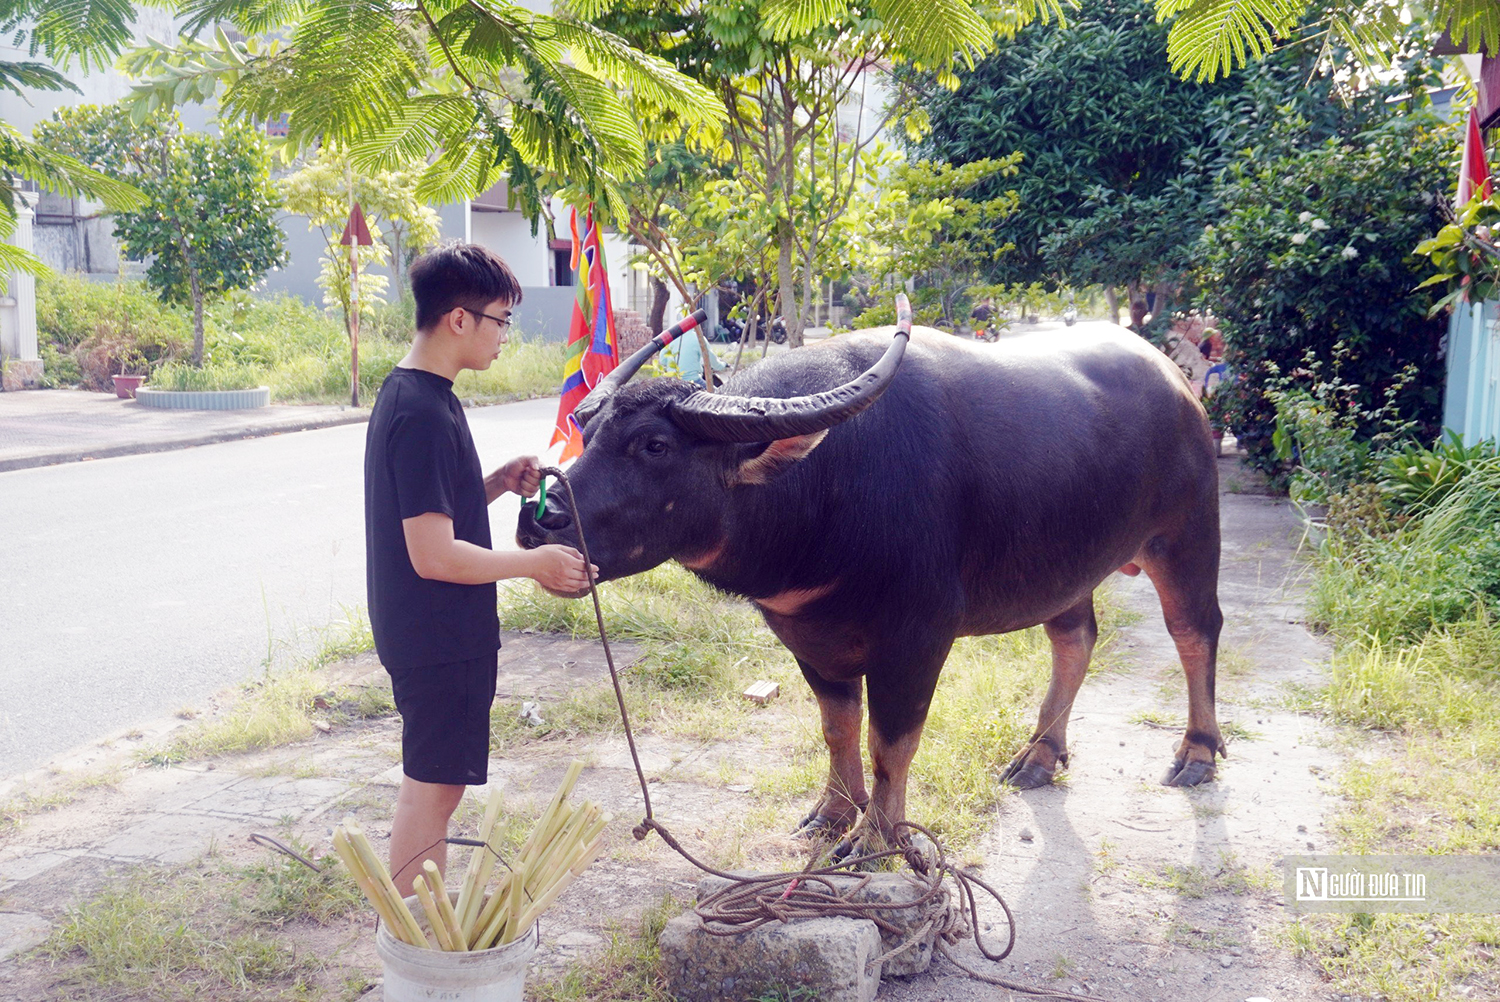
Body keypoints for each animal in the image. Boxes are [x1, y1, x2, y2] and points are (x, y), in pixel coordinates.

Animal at [522, 307, 1224, 852]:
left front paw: (876, 838)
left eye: (655, 445)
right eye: (586, 430)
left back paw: (1196, 753)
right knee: (1074, 638)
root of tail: (1178, 385)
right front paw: (833, 813)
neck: (828, 484)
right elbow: (837, 726)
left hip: (1186, 538)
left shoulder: (918, 638)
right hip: (1067, 567)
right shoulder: (806, 636)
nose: (540, 520)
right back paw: (1041, 754)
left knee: (1195, 631)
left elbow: (893, 742)